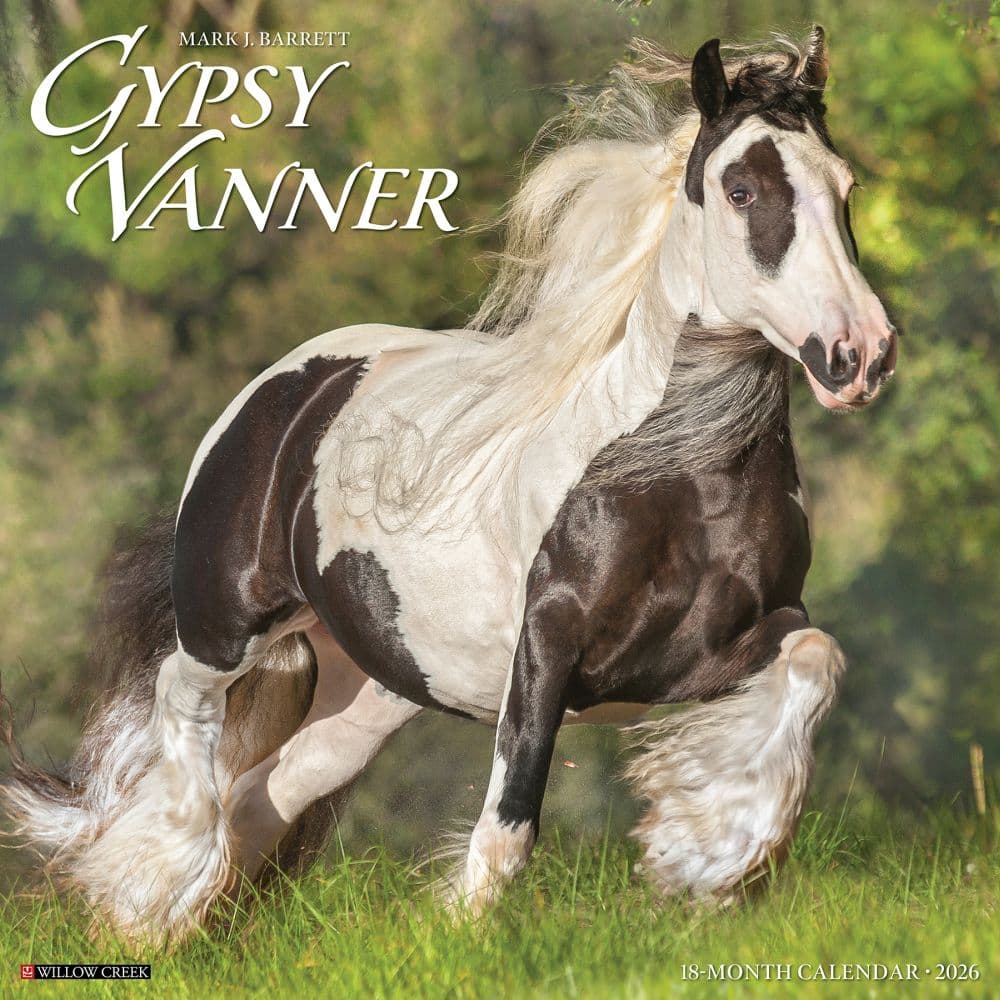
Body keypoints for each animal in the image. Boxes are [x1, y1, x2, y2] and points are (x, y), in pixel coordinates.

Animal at [3, 27, 897, 942]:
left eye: (846, 186)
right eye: (740, 189)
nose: (859, 354)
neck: (674, 483)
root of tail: (284, 388)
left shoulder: (721, 648)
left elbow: (815, 662)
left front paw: (711, 854)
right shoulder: (545, 651)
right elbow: (510, 816)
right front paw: (475, 931)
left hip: (371, 689)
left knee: (265, 791)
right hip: (226, 624)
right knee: (185, 722)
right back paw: (144, 902)